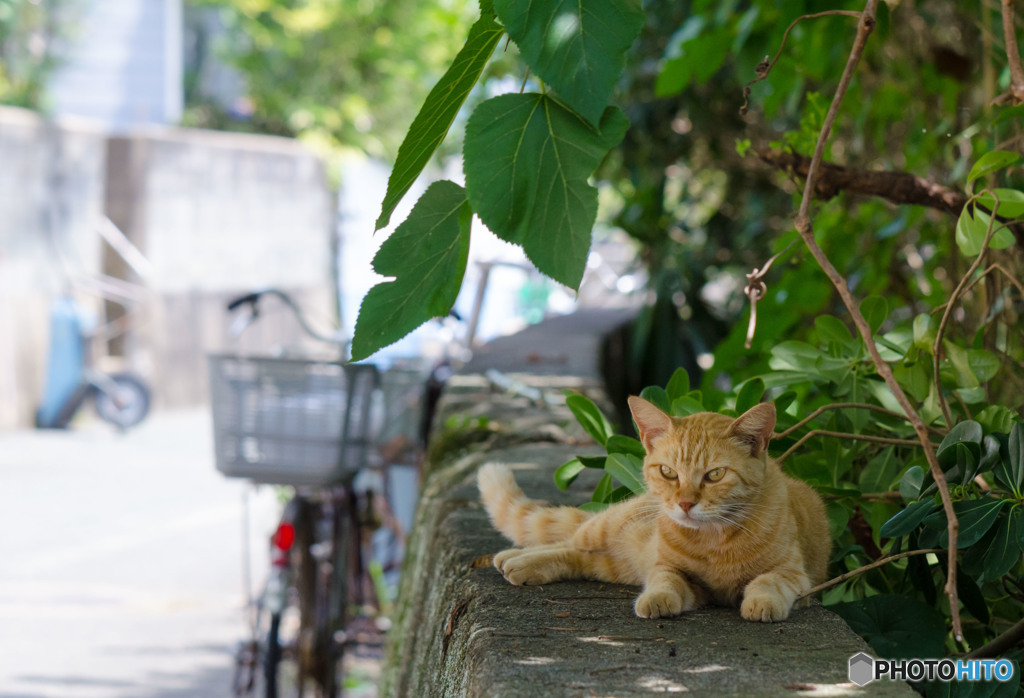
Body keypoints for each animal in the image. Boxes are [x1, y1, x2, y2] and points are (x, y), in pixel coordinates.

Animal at [479, 397, 831, 618]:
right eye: (668, 472)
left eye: (715, 475)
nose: (685, 504)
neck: (715, 540)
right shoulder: (668, 568)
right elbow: (665, 580)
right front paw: (657, 599)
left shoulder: (797, 576)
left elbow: (768, 581)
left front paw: (762, 602)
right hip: (605, 530)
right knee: (571, 539)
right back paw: (514, 558)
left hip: (612, 566)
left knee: (576, 555)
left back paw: (517, 563)